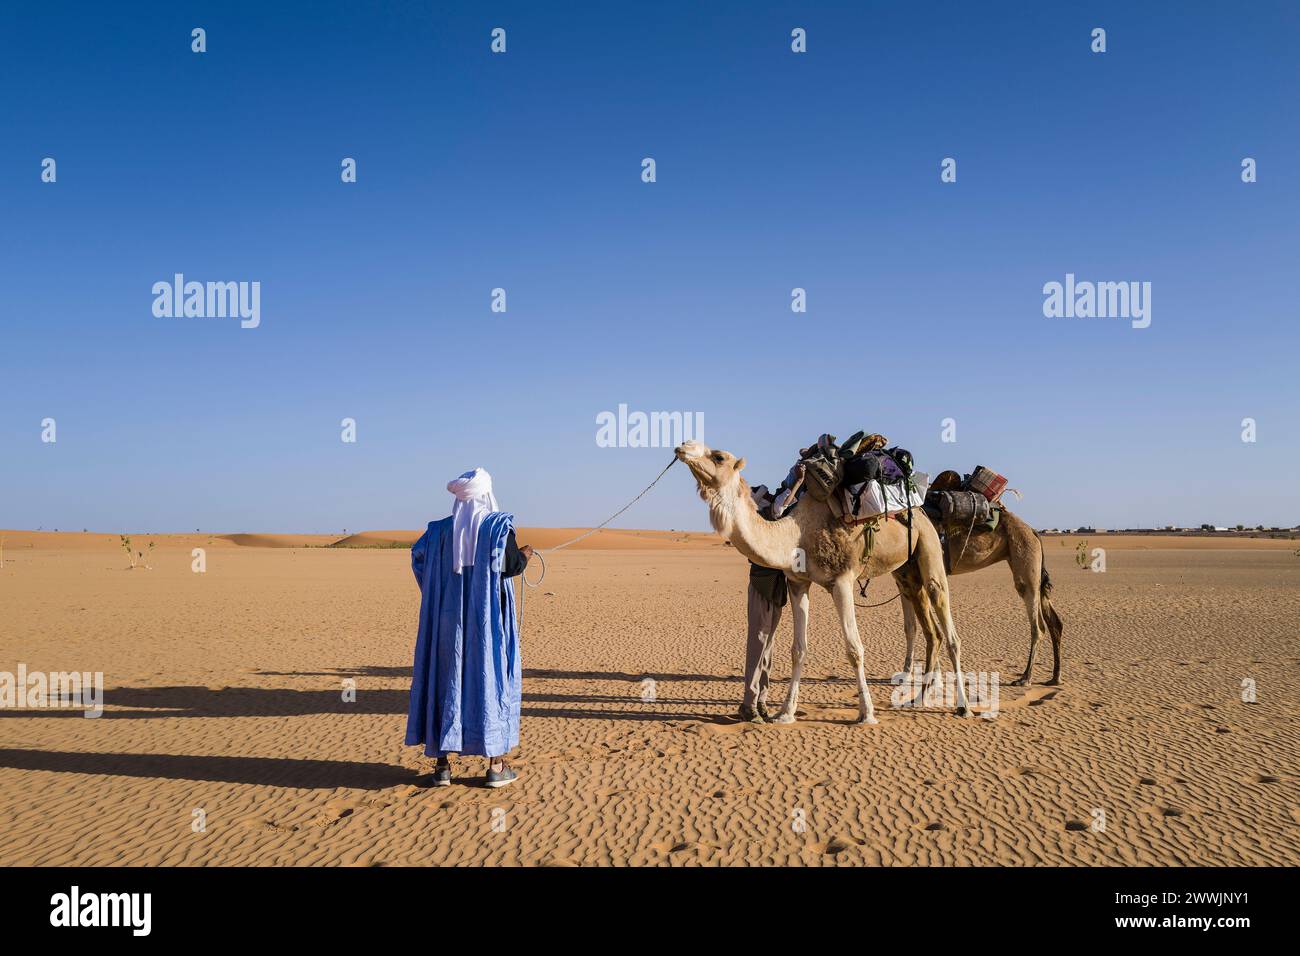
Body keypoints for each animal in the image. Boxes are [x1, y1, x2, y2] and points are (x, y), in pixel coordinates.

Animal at [676, 437, 972, 723]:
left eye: (718, 456)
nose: (682, 447)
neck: (796, 534)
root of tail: (922, 509)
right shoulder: (797, 583)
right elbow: (798, 649)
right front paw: (785, 712)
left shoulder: (842, 581)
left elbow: (854, 649)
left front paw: (867, 713)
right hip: (906, 572)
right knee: (932, 632)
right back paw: (920, 697)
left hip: (929, 545)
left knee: (949, 629)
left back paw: (963, 706)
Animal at [904, 509, 1066, 686]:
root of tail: (1033, 531)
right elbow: (911, 627)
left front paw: (932, 678)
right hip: (1030, 566)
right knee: (1054, 622)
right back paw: (1055, 677)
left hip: (1026, 561)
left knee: (1038, 626)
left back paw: (1025, 677)